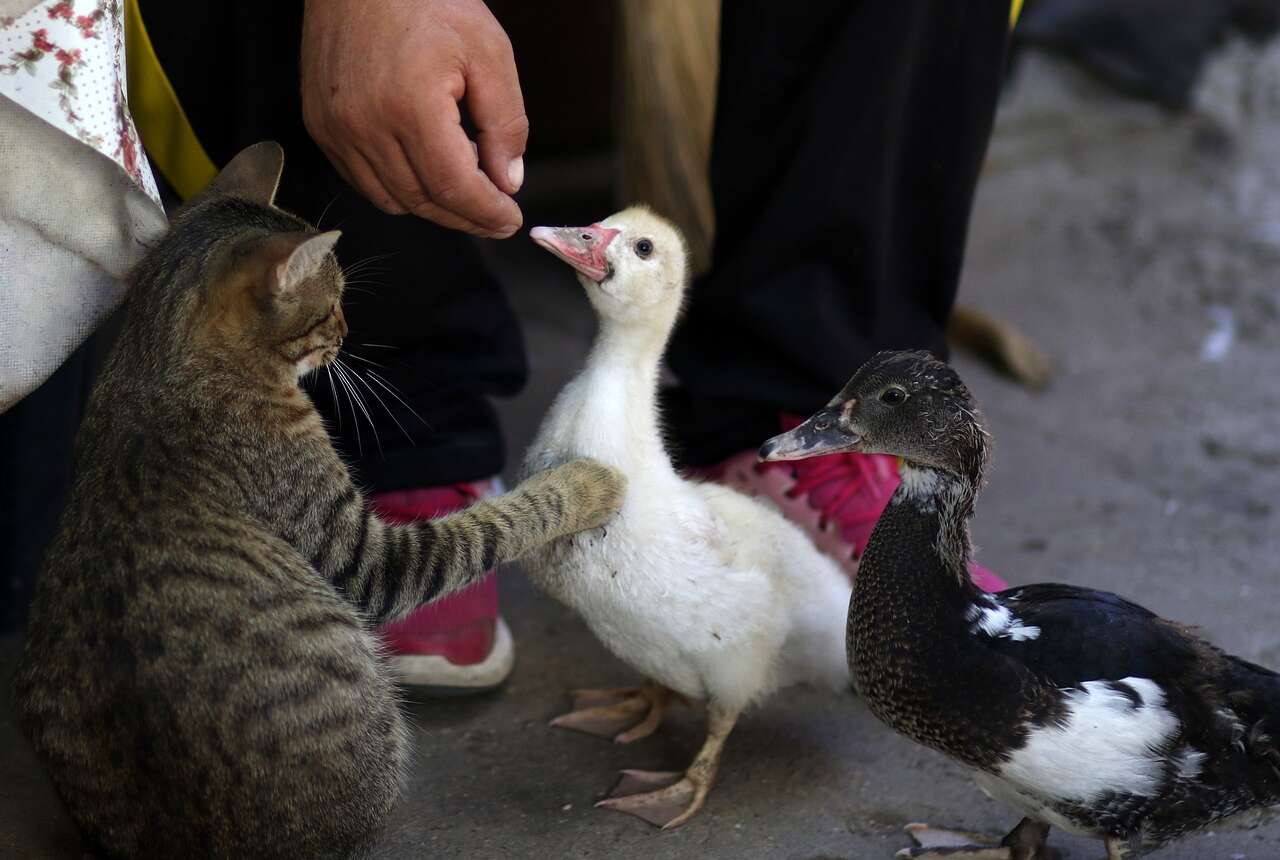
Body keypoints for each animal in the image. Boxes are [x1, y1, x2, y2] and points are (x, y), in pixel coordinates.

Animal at [13, 144, 624, 854]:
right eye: (333, 302)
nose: (347, 330)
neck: (159, 362)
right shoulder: (367, 556)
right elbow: (488, 526)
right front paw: (588, 482)